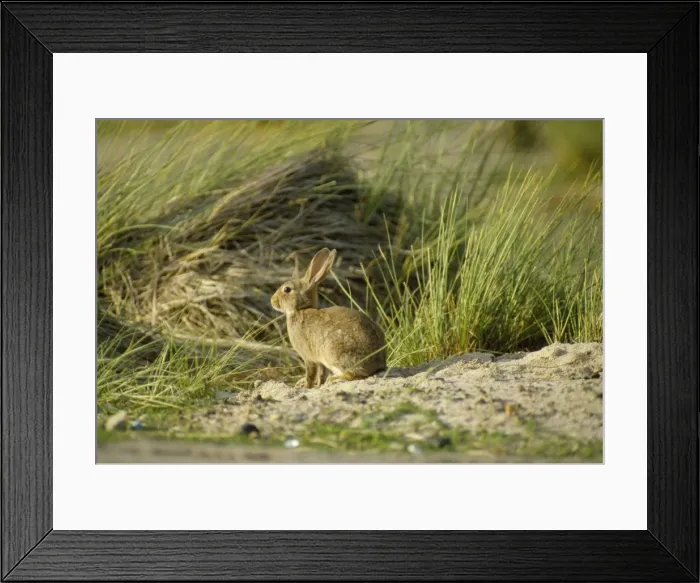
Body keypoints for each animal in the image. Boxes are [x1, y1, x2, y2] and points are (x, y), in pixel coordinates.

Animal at [271, 248, 386, 388]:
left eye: (287, 289)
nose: (272, 301)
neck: (300, 309)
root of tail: (378, 363)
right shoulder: (320, 361)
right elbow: (321, 373)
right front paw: (317, 385)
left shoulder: (308, 357)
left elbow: (311, 373)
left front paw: (306, 385)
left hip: (336, 353)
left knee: (356, 374)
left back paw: (335, 378)